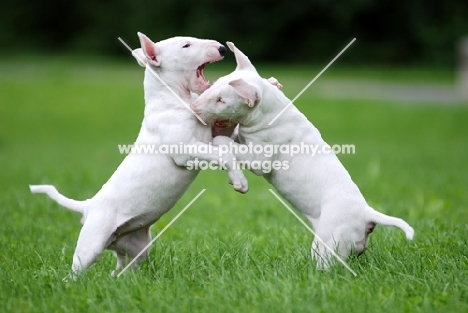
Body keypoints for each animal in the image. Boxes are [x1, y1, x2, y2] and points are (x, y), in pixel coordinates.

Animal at [29, 33, 250, 280]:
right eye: (186, 45)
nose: (222, 49)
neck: (175, 99)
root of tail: (88, 206)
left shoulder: (210, 134)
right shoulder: (184, 151)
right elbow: (222, 156)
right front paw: (239, 182)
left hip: (136, 248)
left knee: (120, 271)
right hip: (91, 244)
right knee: (75, 273)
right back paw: (70, 283)